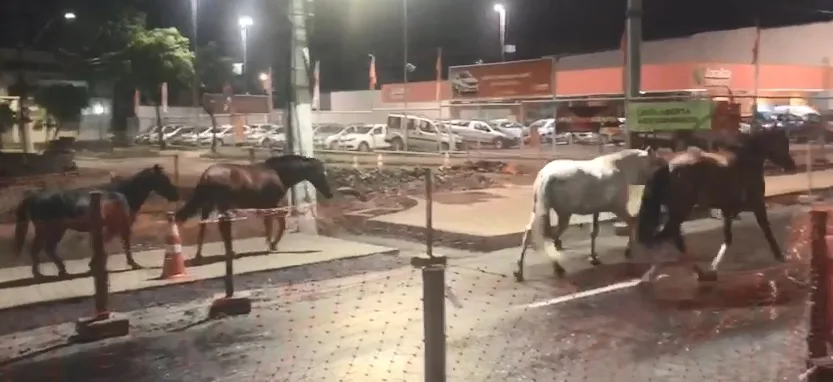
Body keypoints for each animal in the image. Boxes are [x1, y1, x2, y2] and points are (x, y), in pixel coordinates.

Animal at [13, 164, 179, 278]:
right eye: (163, 179)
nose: (176, 195)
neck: (123, 194)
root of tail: (33, 197)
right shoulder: (120, 227)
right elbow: (123, 246)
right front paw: (132, 264)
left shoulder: (115, 227)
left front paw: (94, 265)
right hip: (51, 229)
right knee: (41, 248)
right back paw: (44, 273)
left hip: (54, 229)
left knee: (44, 248)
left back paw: (55, 271)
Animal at [176, 154, 344, 262]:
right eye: (320, 173)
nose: (329, 194)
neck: (278, 173)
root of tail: (206, 175)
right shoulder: (271, 204)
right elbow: (278, 221)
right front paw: (272, 245)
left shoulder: (266, 205)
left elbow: (269, 223)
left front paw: (270, 244)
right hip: (221, 204)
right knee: (222, 226)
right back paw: (230, 252)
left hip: (208, 204)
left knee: (203, 226)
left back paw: (200, 255)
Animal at [512, 148, 664, 282]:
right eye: (657, 163)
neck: (619, 166)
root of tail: (547, 176)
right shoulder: (618, 208)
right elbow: (633, 222)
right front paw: (628, 250)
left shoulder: (596, 210)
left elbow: (594, 232)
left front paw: (593, 257)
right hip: (564, 214)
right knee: (549, 235)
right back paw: (557, 267)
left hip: (538, 210)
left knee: (530, 232)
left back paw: (520, 271)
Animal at [636, 130, 800, 282]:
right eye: (783, 144)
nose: (792, 165)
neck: (748, 161)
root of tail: (667, 167)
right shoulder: (757, 204)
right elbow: (767, 231)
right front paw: (780, 257)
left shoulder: (728, 209)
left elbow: (727, 238)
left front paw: (713, 267)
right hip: (681, 211)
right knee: (667, 236)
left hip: (677, 212)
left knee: (672, 238)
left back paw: (697, 273)